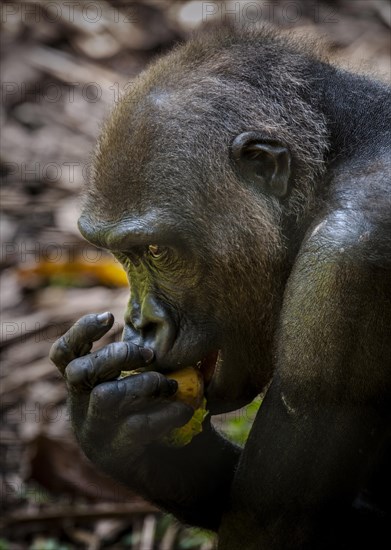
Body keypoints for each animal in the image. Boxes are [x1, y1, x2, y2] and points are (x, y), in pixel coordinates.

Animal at [50, 27, 390, 550]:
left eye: (155, 250)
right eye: (122, 255)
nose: (139, 323)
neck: (334, 162)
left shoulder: (347, 261)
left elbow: (268, 524)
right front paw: (110, 432)